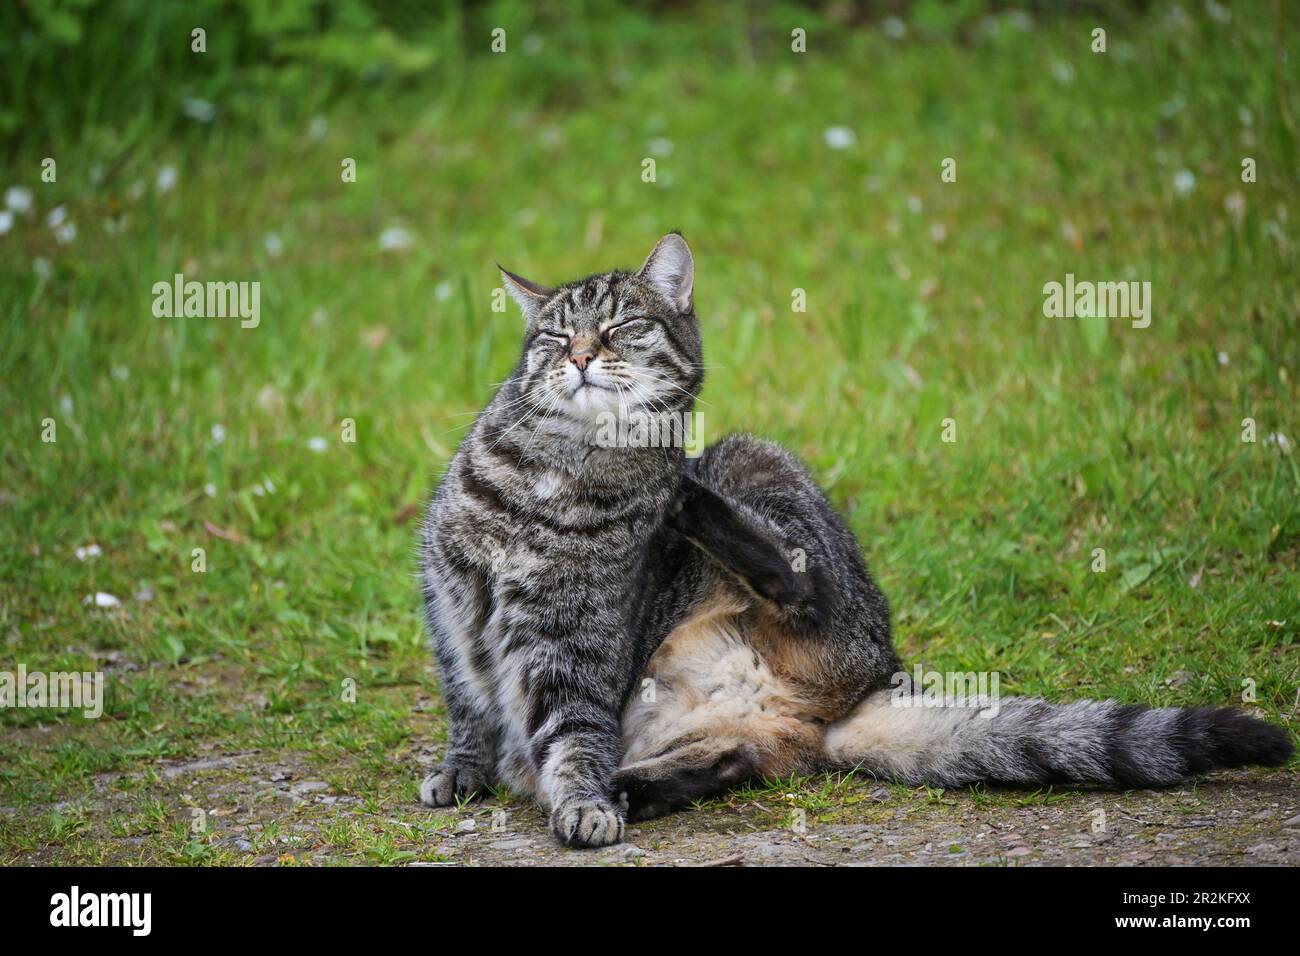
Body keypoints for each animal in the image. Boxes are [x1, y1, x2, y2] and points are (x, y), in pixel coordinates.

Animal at [421, 235, 1294, 848]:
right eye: (553, 335)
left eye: (624, 325)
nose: (578, 355)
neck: (553, 472)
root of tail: (867, 686)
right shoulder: (450, 603)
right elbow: (468, 705)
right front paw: (466, 771)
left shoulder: (578, 638)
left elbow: (573, 733)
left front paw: (582, 804)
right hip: (723, 722)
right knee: (737, 760)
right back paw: (635, 785)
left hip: (756, 465)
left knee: (796, 582)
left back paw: (687, 505)